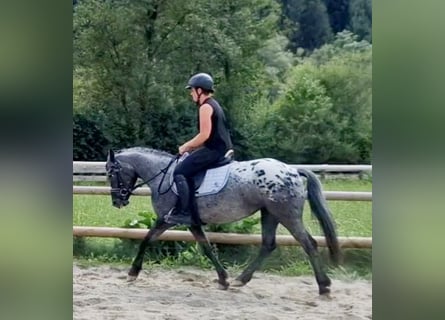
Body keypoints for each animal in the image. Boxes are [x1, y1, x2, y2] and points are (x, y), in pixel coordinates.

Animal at [105, 148, 340, 296]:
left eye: (111, 173)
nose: (117, 201)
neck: (163, 175)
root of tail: (292, 170)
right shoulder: (193, 223)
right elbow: (207, 248)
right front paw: (224, 279)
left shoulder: (166, 219)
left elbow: (146, 239)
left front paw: (132, 273)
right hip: (270, 214)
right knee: (268, 245)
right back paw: (241, 279)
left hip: (286, 215)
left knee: (308, 243)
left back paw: (324, 286)